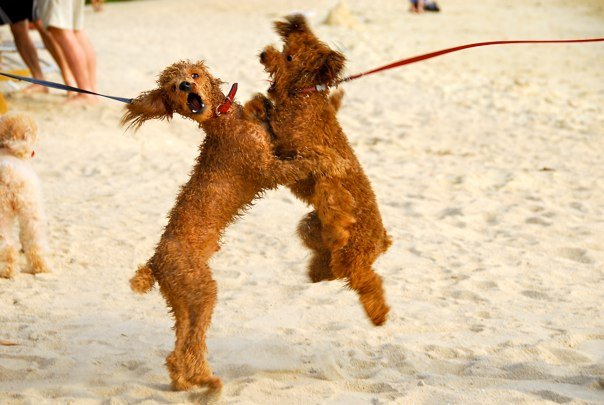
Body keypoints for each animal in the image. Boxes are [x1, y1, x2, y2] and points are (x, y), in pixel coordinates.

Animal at [0, 113, 50, 278]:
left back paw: (8, 271)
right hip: (32, 212)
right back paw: (41, 267)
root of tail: (8, 175)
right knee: (35, 243)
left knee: (7, 245)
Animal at [120, 59, 326, 388]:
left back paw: (185, 382)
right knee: (192, 344)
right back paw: (206, 382)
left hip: (182, 302)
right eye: (171, 86)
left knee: (178, 349)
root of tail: (154, 262)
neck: (224, 121)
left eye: (194, 75)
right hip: (202, 290)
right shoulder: (266, 168)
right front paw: (325, 159)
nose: (185, 86)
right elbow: (299, 164)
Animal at [254, 15, 392, 326]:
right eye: (284, 47)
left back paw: (378, 314)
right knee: (327, 259)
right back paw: (319, 274)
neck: (304, 97)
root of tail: (382, 239)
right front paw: (258, 104)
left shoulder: (301, 148)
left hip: (353, 256)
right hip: (311, 225)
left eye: (289, 57)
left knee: (367, 281)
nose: (264, 54)